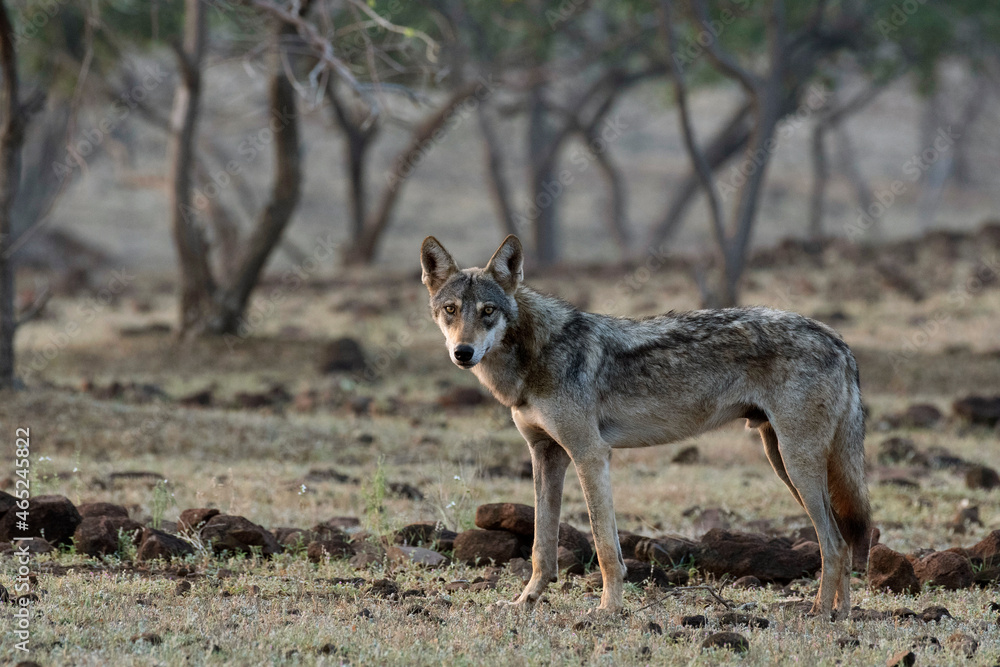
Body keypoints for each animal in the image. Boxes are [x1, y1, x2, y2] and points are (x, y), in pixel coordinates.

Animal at [420, 234, 872, 620]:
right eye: (451, 310)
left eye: (488, 311)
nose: (463, 352)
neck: (535, 356)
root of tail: (838, 340)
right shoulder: (546, 456)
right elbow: (541, 548)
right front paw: (525, 602)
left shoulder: (589, 454)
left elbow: (605, 547)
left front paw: (608, 610)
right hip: (783, 461)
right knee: (845, 542)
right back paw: (842, 615)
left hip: (796, 464)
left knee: (834, 543)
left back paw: (818, 614)